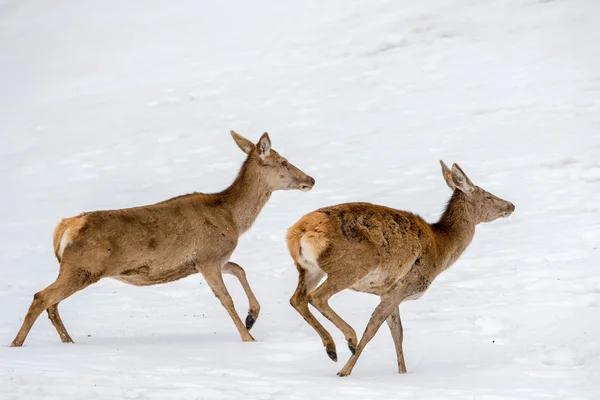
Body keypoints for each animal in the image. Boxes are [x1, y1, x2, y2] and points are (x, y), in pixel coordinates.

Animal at [11, 130, 316, 346]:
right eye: (283, 161)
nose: (311, 179)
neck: (232, 219)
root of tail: (65, 227)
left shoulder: (209, 259)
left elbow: (240, 268)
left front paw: (251, 316)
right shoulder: (207, 257)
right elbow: (225, 298)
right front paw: (248, 337)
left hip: (74, 268)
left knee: (52, 302)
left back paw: (67, 341)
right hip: (83, 266)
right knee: (42, 296)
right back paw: (17, 343)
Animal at [286, 161, 516, 376]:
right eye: (487, 195)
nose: (511, 205)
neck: (440, 249)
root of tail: (300, 231)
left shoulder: (387, 291)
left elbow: (397, 332)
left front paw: (402, 373)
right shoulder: (403, 286)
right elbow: (373, 329)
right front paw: (345, 371)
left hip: (309, 269)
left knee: (297, 298)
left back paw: (331, 348)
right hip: (352, 266)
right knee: (317, 296)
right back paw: (349, 341)